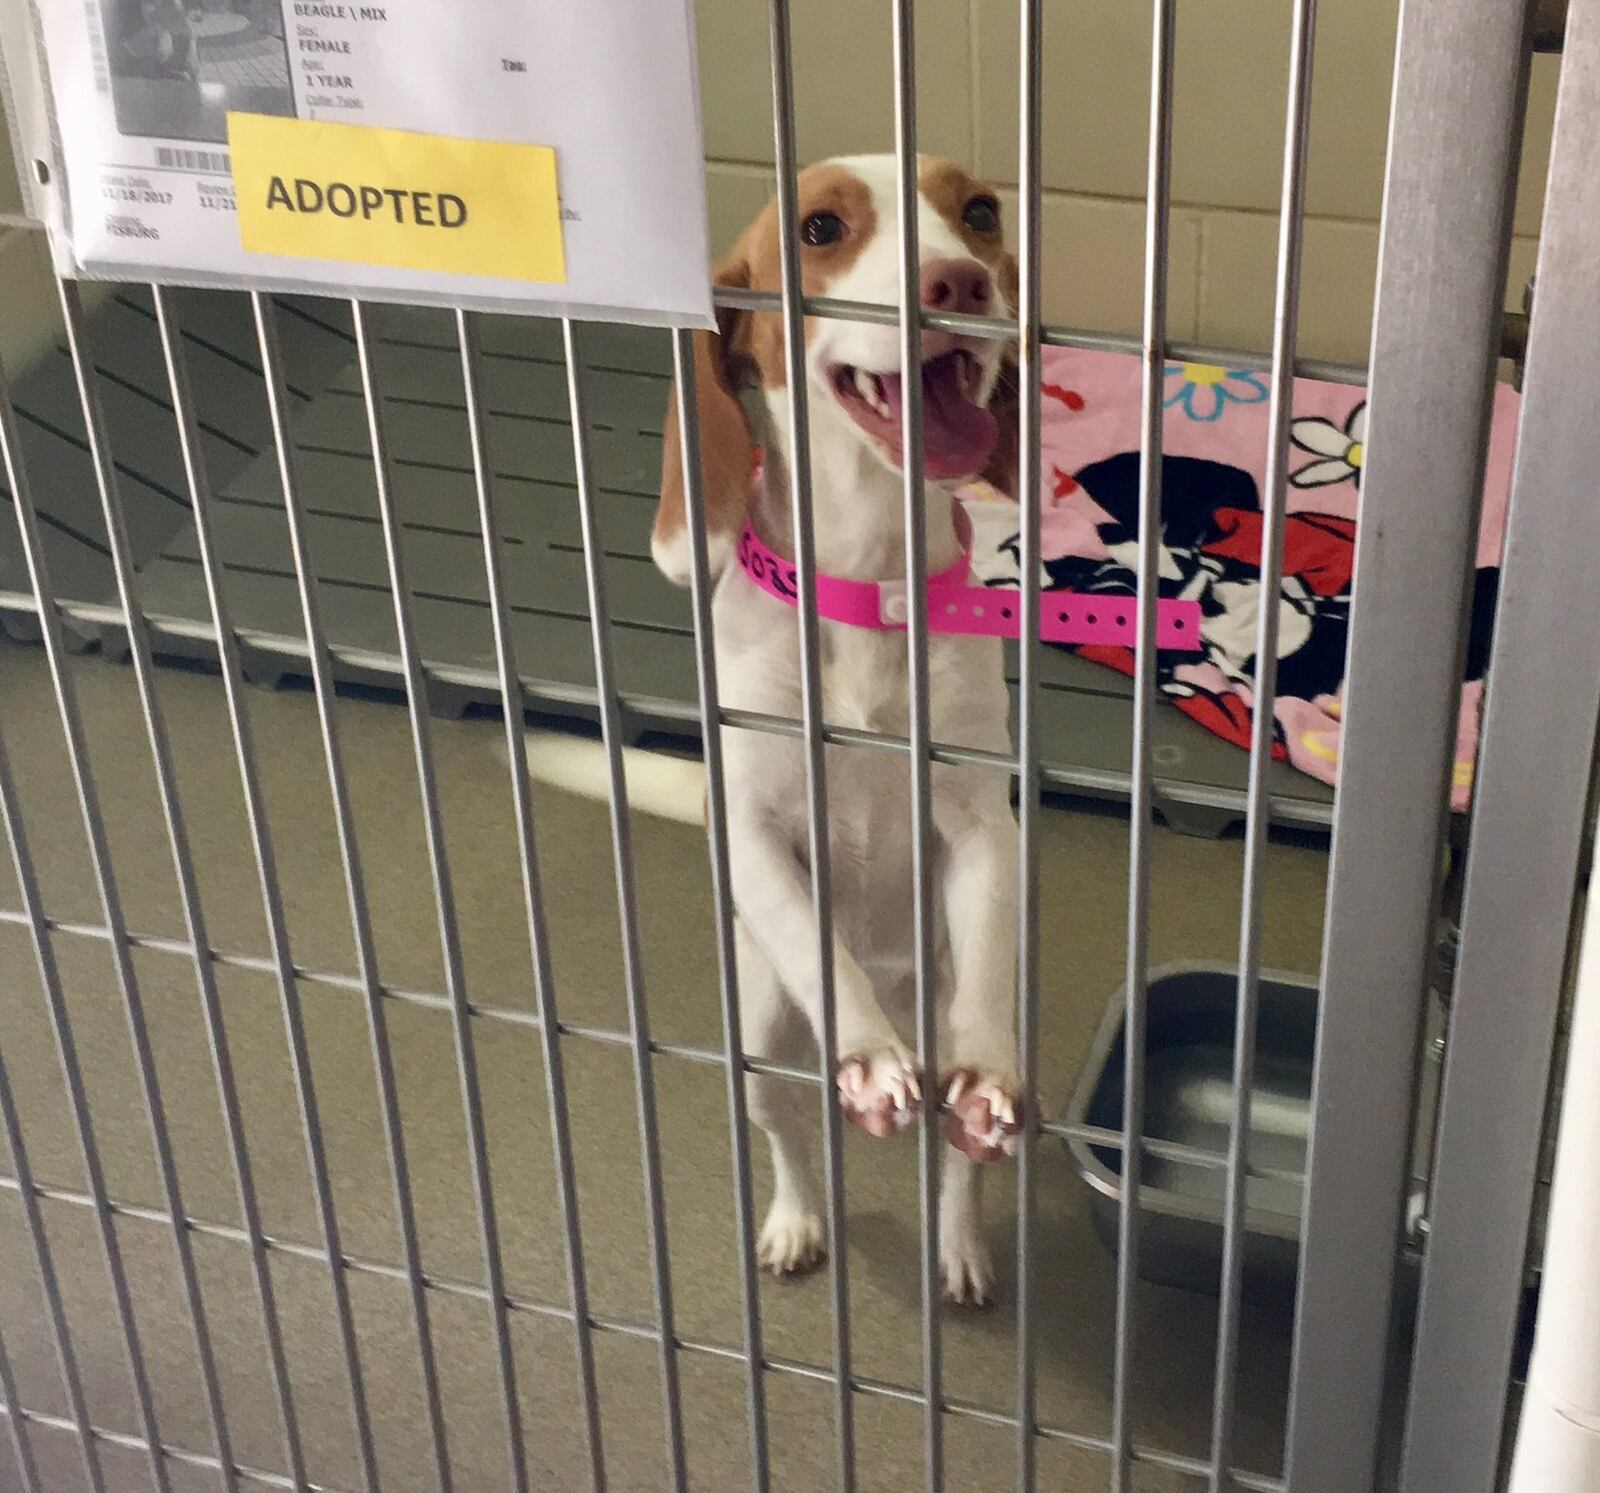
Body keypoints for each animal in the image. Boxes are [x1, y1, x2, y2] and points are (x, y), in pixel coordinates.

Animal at [646, 154, 1024, 1305]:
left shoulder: (980, 818)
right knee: (787, 1128)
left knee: (953, 1153)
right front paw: (862, 1051)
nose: (957, 283)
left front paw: (984, 1074)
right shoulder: (754, 827)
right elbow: (813, 943)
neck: (867, 576)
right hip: (763, 1034)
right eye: (818, 228)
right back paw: (796, 1216)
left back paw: (959, 1243)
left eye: (979, 211)